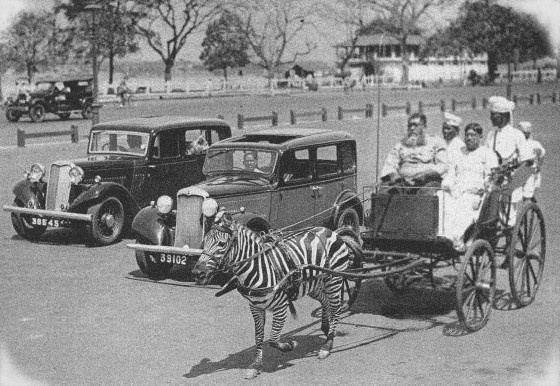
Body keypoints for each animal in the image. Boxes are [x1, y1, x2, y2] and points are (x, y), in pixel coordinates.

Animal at [191, 213, 358, 378]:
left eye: (221, 244)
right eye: (203, 243)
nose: (197, 274)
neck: (259, 268)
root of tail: (330, 231)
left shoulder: (281, 307)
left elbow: (272, 339)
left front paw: (290, 345)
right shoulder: (255, 308)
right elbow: (259, 337)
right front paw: (256, 365)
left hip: (334, 280)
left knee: (335, 309)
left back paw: (327, 345)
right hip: (312, 285)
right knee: (325, 301)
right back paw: (326, 327)